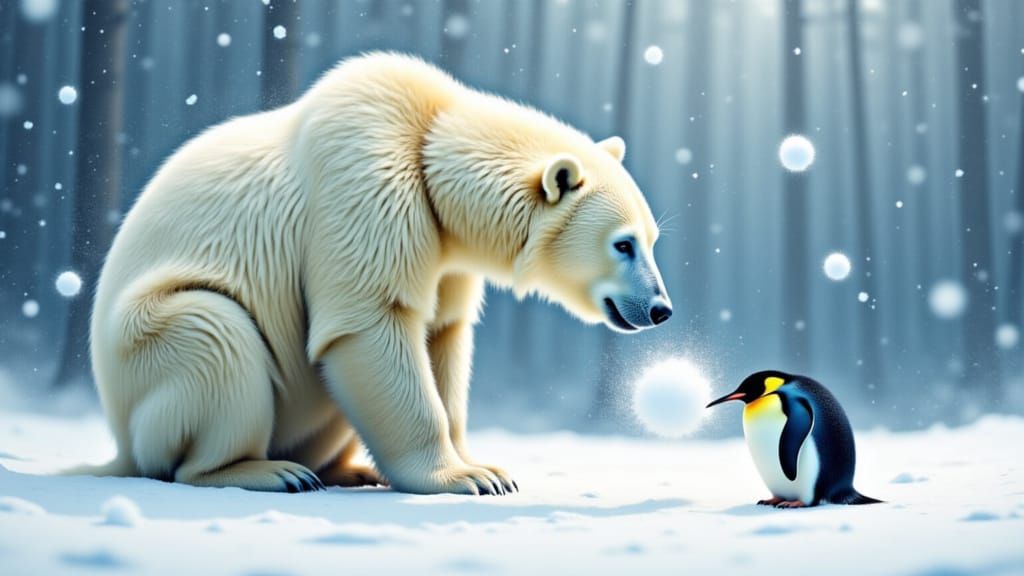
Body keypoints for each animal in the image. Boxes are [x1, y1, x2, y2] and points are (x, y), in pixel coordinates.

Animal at [73, 52, 672, 495]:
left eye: (653, 239)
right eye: (623, 244)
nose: (660, 308)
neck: (428, 143)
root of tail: (118, 441)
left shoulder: (444, 252)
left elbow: (442, 335)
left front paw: (487, 465)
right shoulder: (367, 184)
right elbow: (371, 323)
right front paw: (465, 477)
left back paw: (349, 470)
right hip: (148, 344)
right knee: (212, 333)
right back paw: (267, 471)